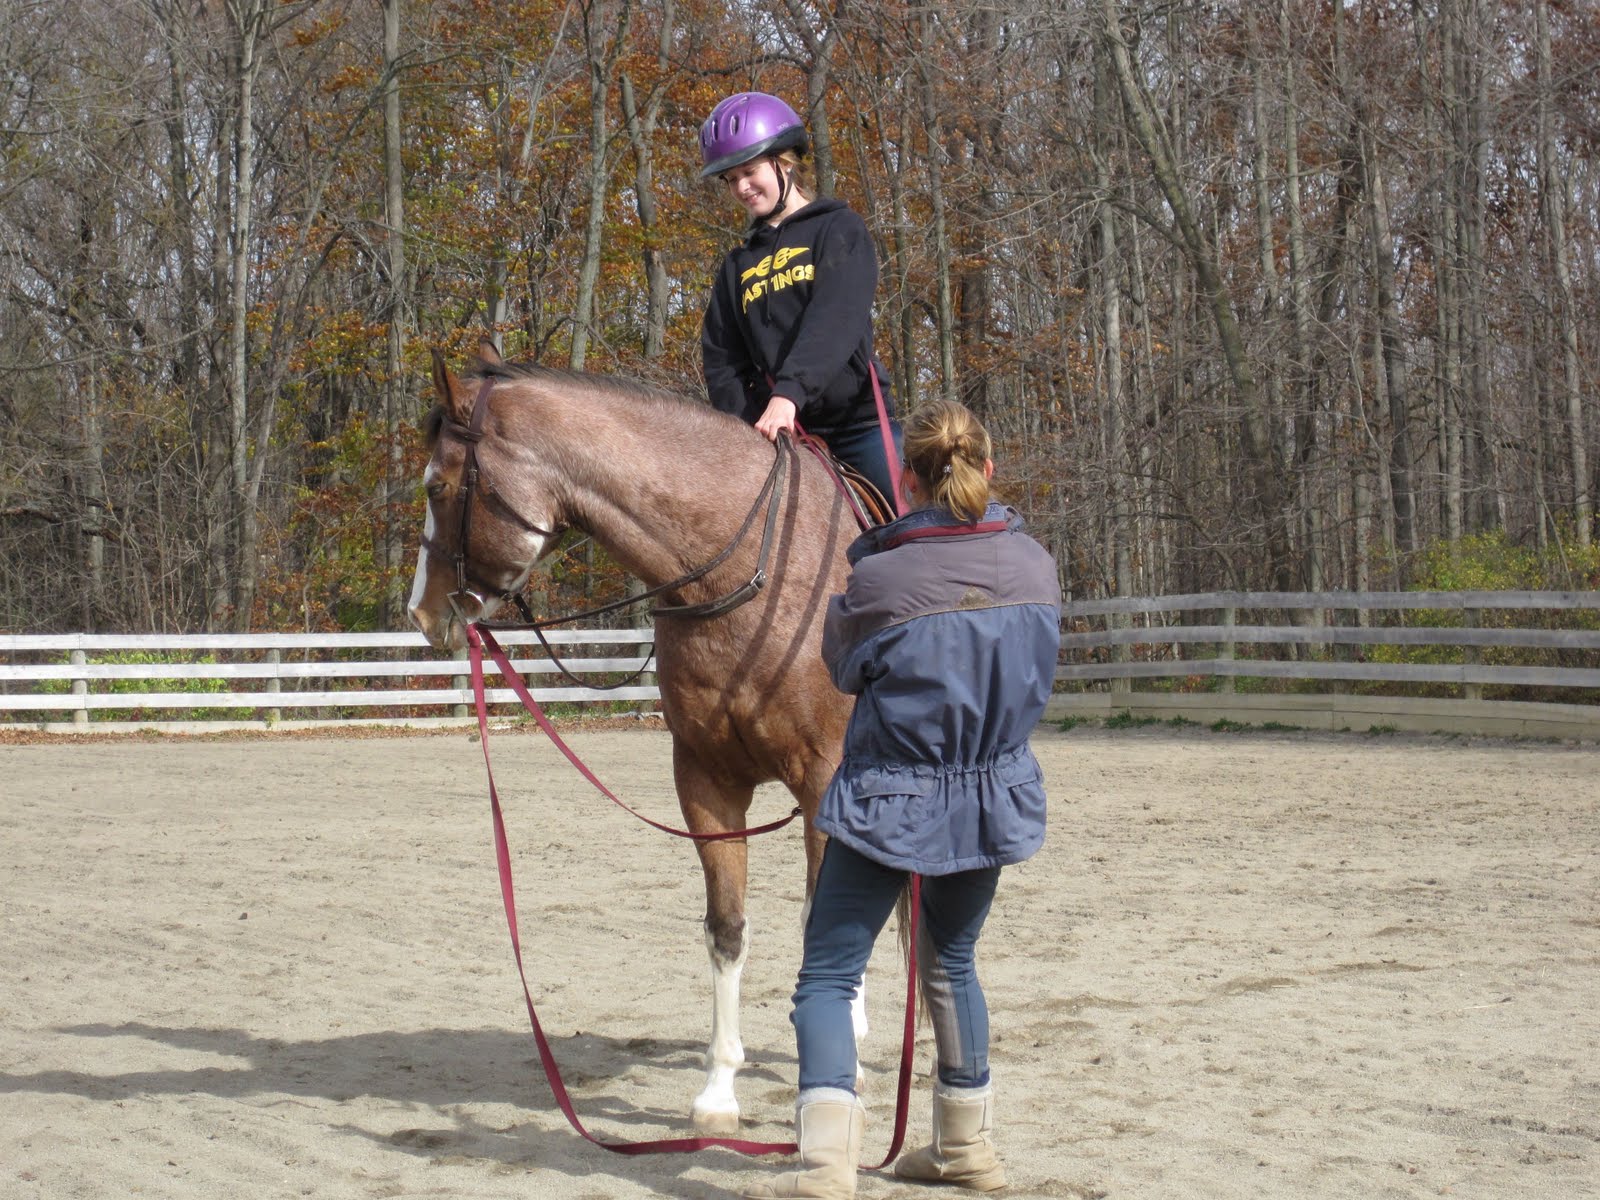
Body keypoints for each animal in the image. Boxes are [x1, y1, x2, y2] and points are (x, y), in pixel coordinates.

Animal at [406, 344, 866, 1133]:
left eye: (437, 485)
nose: (421, 611)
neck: (750, 573)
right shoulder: (707, 783)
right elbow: (727, 929)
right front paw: (719, 1091)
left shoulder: (822, 780)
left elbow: (825, 924)